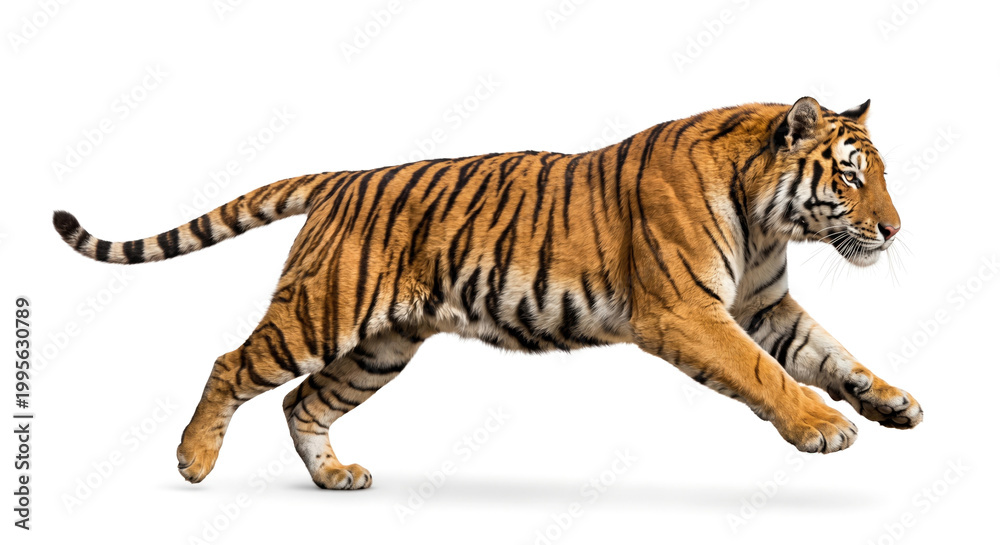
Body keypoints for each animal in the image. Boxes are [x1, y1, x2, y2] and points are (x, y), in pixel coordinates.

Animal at [53, 96, 922, 490]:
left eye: (881, 172)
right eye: (852, 175)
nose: (894, 228)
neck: (768, 218)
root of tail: (342, 179)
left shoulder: (760, 306)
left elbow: (832, 354)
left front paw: (892, 402)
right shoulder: (690, 313)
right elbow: (766, 374)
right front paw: (823, 427)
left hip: (381, 347)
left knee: (302, 400)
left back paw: (334, 477)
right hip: (320, 312)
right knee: (231, 364)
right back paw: (193, 459)